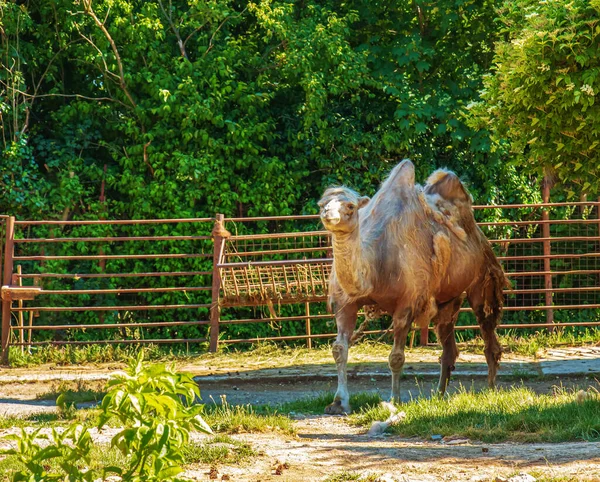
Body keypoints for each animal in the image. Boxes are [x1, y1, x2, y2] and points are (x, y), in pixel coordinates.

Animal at [318, 159, 506, 414]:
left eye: (350, 206)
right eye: (322, 203)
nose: (328, 215)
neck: (374, 266)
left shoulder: (407, 303)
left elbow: (396, 357)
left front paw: (394, 399)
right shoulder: (345, 303)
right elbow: (339, 350)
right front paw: (339, 402)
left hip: (481, 277)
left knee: (487, 330)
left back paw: (490, 390)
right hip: (448, 299)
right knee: (448, 345)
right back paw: (439, 395)